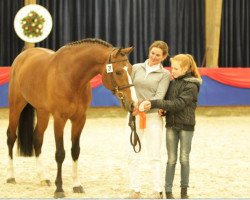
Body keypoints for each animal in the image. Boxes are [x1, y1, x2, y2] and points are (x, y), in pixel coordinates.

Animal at [6, 38, 138, 198]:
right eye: (118, 72)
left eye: (130, 69)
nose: (133, 104)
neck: (72, 77)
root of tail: (24, 55)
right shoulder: (59, 119)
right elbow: (60, 153)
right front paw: (59, 189)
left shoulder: (79, 119)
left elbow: (75, 151)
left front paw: (77, 185)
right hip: (16, 106)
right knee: (11, 137)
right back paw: (11, 176)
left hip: (43, 112)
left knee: (37, 138)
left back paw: (43, 178)